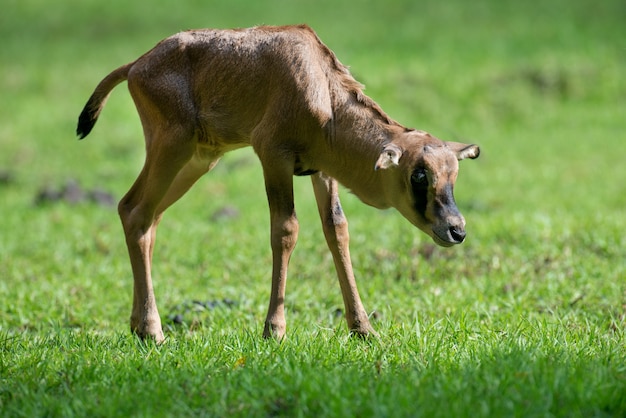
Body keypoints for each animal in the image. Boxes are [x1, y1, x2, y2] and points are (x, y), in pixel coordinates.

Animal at [78, 24, 478, 342]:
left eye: (453, 174)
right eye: (419, 174)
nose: (456, 231)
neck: (320, 85)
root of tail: (136, 66)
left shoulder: (321, 171)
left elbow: (337, 229)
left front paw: (363, 329)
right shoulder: (273, 157)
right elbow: (286, 229)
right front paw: (274, 330)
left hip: (196, 161)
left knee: (144, 216)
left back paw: (138, 325)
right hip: (171, 148)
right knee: (135, 211)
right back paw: (153, 331)